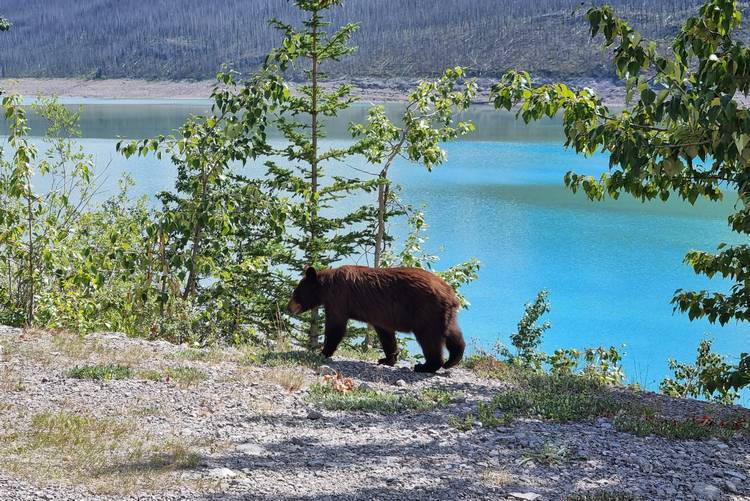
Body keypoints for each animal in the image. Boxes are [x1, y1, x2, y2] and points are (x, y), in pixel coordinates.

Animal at [287, 265, 465, 372]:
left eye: (295, 293)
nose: (288, 308)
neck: (326, 286)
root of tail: (451, 294)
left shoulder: (339, 299)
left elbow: (336, 327)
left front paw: (323, 352)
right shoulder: (381, 317)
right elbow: (386, 335)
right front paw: (388, 359)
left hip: (426, 311)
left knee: (429, 338)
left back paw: (426, 366)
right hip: (443, 315)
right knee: (453, 333)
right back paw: (453, 360)